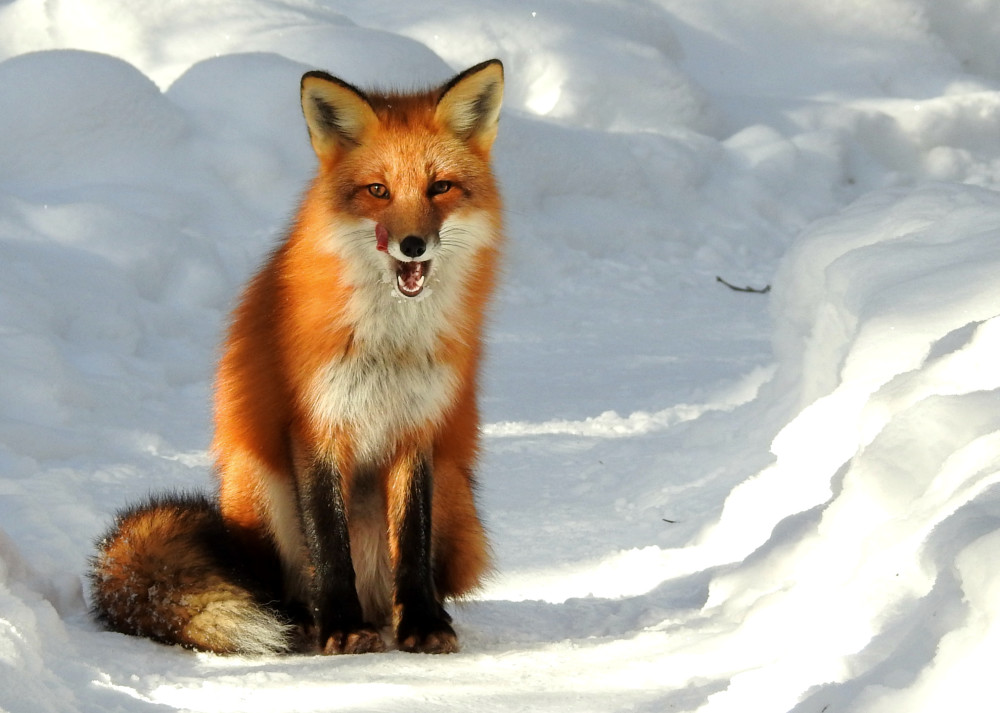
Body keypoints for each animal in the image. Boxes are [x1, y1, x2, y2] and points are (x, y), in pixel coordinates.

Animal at [89, 61, 504, 656]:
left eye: (440, 187)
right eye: (378, 191)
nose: (412, 245)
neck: (389, 343)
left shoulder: (416, 428)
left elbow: (412, 541)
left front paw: (423, 623)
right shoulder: (316, 423)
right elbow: (328, 542)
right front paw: (341, 627)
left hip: (454, 491)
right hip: (260, 483)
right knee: (280, 583)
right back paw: (303, 619)